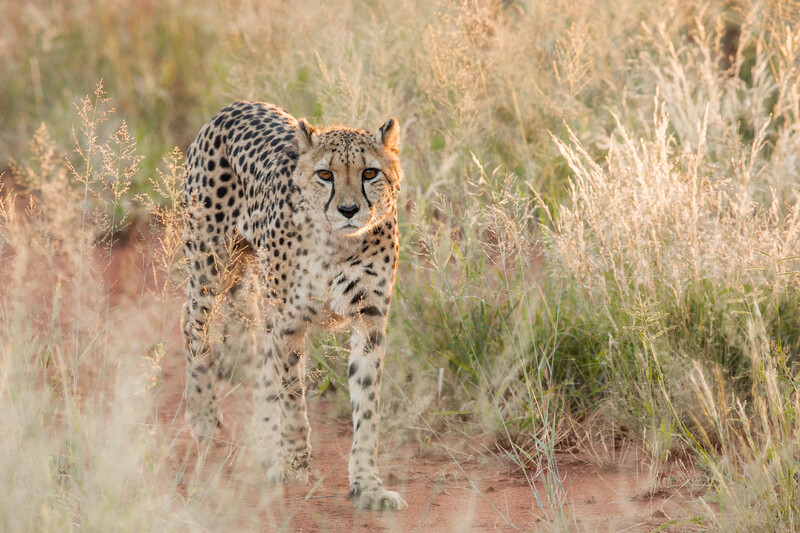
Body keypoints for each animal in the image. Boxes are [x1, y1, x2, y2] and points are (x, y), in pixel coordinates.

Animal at [181, 101, 406, 510]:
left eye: (370, 173)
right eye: (325, 174)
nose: (349, 210)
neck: (338, 243)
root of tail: (236, 105)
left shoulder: (369, 320)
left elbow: (367, 406)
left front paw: (368, 486)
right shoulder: (290, 322)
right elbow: (292, 396)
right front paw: (295, 463)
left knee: (259, 363)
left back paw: (265, 447)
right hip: (211, 267)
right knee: (193, 325)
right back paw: (204, 414)